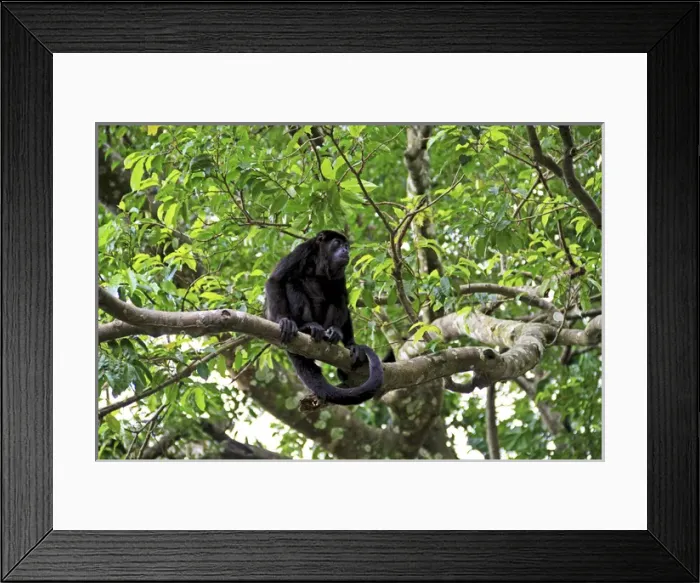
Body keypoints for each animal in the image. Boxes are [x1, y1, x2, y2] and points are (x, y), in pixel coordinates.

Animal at [264, 230, 384, 405]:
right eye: (337, 243)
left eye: (346, 245)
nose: (346, 250)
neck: (320, 262)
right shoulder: (302, 251)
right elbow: (276, 280)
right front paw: (283, 320)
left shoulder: (341, 272)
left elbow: (344, 298)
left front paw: (351, 344)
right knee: (293, 282)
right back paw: (307, 327)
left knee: (337, 295)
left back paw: (333, 332)